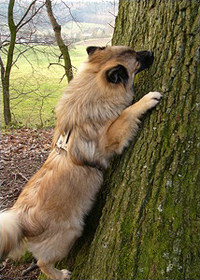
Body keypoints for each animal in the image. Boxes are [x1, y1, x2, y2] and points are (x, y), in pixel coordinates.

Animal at [0, 44, 162, 278]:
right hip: (69, 233)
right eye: (137, 59)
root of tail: (22, 223)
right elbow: (126, 114)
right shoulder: (108, 138)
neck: (91, 89)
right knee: (42, 263)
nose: (150, 52)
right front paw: (147, 100)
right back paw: (60, 274)